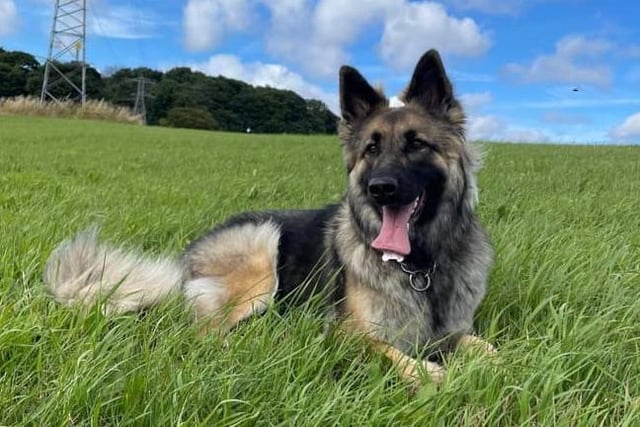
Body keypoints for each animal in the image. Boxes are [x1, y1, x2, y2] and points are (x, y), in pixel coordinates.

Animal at [43, 49, 496, 384]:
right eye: (372, 149)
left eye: (417, 144)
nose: (379, 188)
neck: (420, 266)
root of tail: (184, 260)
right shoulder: (347, 334)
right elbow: (392, 354)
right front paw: (429, 373)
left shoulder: (455, 332)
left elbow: (492, 351)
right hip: (262, 247)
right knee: (203, 333)